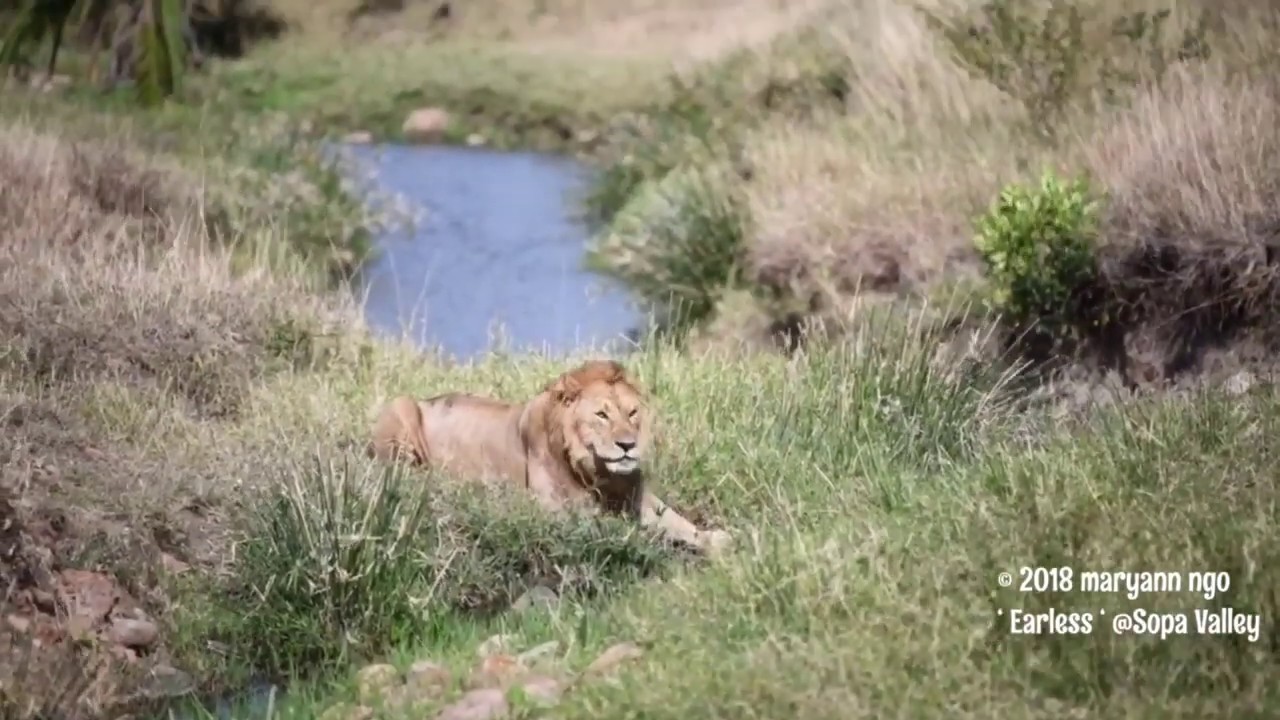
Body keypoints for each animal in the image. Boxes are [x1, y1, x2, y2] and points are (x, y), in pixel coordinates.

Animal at [366, 359, 733, 556]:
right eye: (601, 415)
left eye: (632, 413)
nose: (628, 445)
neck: (599, 473)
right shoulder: (557, 513)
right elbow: (619, 528)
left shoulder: (637, 496)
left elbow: (677, 520)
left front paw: (715, 539)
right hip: (401, 406)